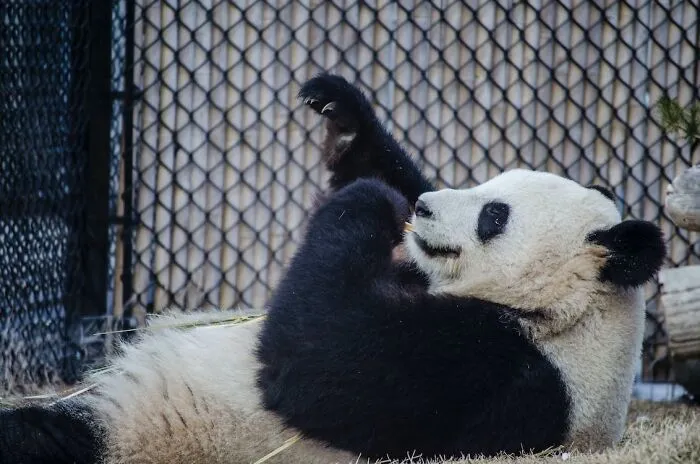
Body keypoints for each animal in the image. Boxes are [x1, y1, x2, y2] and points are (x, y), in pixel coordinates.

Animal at [0, 74, 666, 464]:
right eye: (489, 184)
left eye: (493, 216)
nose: (425, 209)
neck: (570, 313)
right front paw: (345, 116)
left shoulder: (499, 373)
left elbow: (320, 360)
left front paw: (371, 201)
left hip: (140, 433)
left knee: (42, 443)